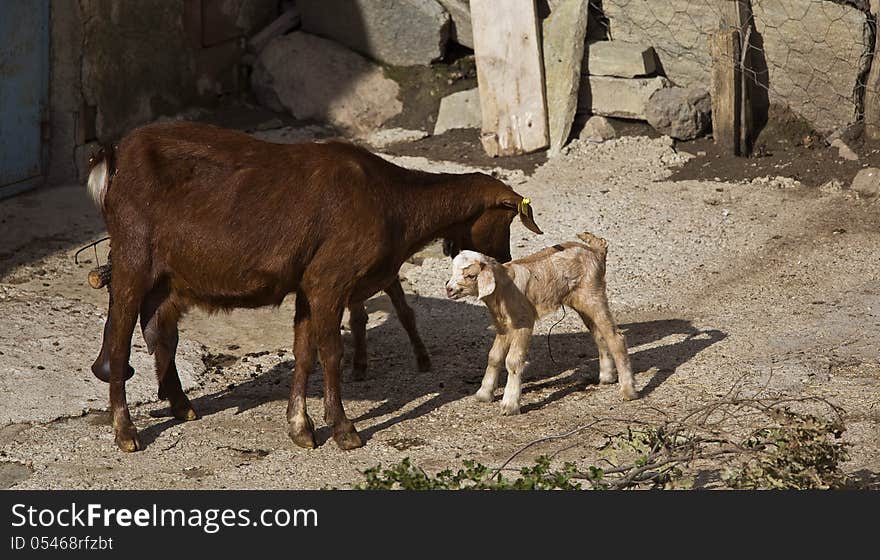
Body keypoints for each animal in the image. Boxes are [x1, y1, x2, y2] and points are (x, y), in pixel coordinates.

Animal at [89, 121, 544, 450]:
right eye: (505, 218)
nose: (504, 260)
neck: (392, 201)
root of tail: (116, 154)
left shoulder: (309, 286)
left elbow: (304, 353)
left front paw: (301, 428)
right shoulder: (330, 281)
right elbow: (331, 354)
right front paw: (343, 429)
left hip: (164, 278)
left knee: (159, 335)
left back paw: (182, 407)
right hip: (132, 261)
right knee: (119, 341)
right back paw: (126, 432)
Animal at [446, 232, 632, 416]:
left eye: (471, 275)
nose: (449, 289)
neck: (503, 290)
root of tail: (596, 251)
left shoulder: (523, 322)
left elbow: (513, 361)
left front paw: (510, 404)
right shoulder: (503, 326)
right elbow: (494, 356)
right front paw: (484, 394)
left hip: (593, 296)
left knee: (616, 337)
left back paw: (628, 390)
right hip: (583, 303)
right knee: (600, 335)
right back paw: (607, 377)